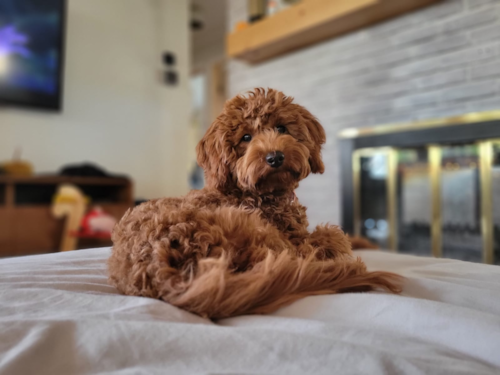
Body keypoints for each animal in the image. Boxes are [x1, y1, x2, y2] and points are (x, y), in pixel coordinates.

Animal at [108, 89, 398, 320]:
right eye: (246, 138)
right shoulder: (295, 240)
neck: (257, 194)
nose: (275, 157)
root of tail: (162, 270)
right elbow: (334, 236)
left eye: (281, 128)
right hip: (259, 237)